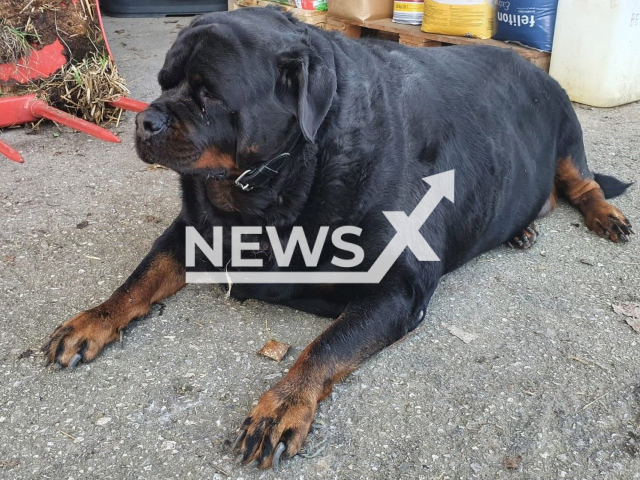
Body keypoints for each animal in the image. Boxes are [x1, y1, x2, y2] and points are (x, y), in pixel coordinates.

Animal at [42, 6, 632, 468]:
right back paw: (522, 228)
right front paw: (93, 318)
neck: (285, 177)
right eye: (164, 83)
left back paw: (604, 215)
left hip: (566, 129)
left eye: (209, 95)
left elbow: (327, 344)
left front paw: (282, 404)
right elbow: (142, 276)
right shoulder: (194, 228)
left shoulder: (398, 286)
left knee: (582, 183)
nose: (145, 121)